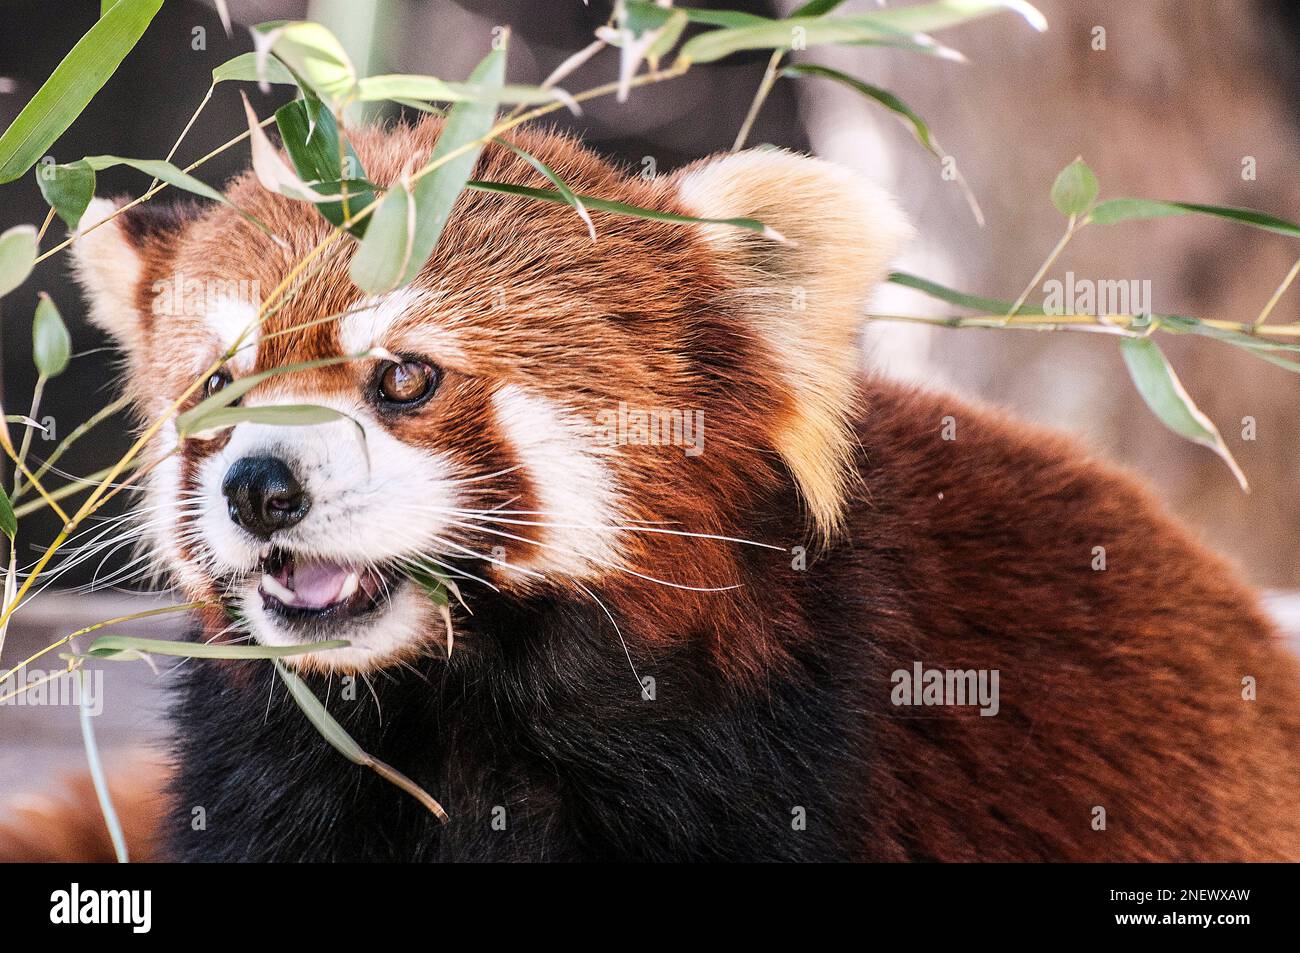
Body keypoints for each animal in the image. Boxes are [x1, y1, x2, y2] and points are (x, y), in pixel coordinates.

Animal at [15, 118, 1300, 863]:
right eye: (218, 386)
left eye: (405, 376)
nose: (259, 487)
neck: (459, 714)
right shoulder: (274, 779)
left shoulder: (781, 767)